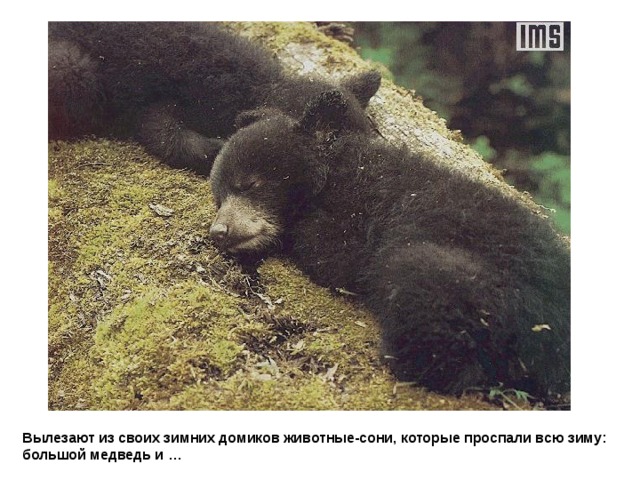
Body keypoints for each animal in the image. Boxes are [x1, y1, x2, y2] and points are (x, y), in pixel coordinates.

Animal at [48, 22, 380, 175]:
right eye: (332, 141)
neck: (256, 85)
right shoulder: (165, 101)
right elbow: (166, 134)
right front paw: (218, 147)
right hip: (71, 68)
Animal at [209, 89, 571, 399]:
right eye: (219, 194)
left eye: (249, 184)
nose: (218, 231)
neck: (334, 174)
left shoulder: (362, 211)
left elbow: (331, 254)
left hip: (489, 294)